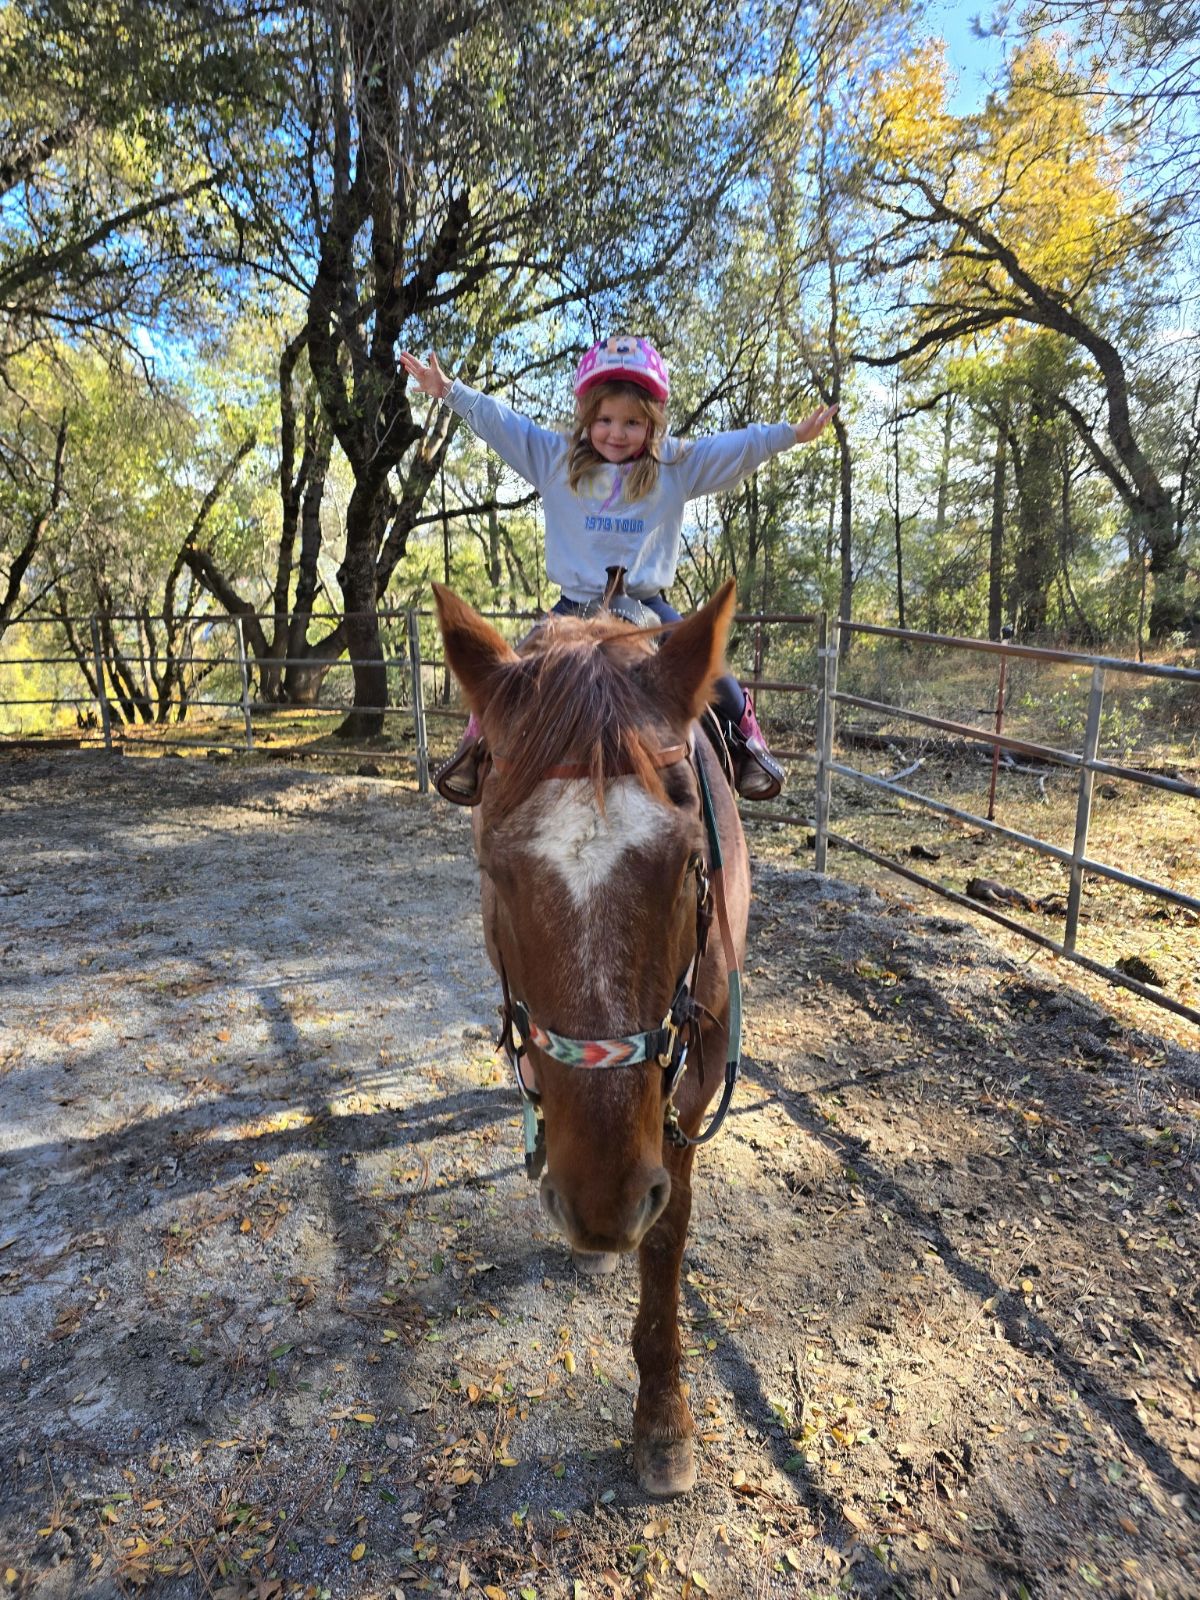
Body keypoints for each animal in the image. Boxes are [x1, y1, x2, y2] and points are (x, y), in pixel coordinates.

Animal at [432, 579, 750, 1498]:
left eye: (690, 861)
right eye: (494, 870)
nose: (605, 1204)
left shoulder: (694, 1076)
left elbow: (669, 1236)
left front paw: (663, 1420)